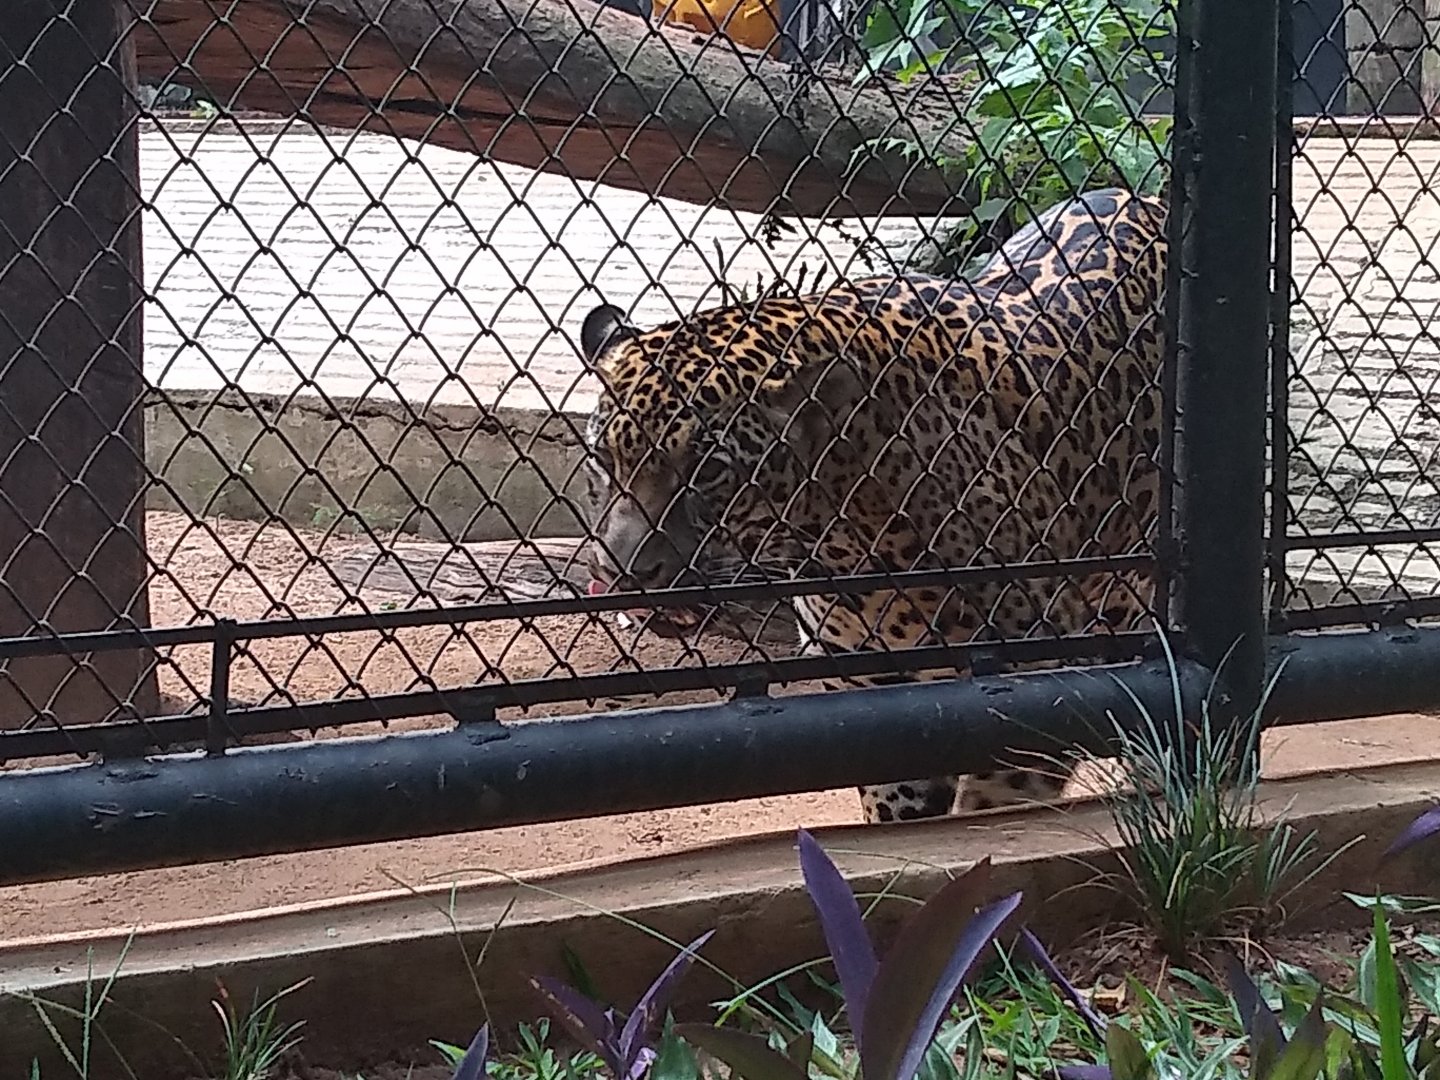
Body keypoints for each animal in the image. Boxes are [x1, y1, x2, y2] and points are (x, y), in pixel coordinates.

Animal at [577, 187, 1168, 824]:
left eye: (707, 470)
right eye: (603, 458)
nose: (624, 573)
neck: (844, 541)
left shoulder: (1033, 686)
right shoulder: (875, 693)